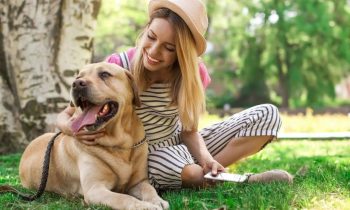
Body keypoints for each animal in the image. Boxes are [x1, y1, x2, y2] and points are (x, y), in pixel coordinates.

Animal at [19, 62, 170, 210]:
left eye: (104, 74)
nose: (77, 83)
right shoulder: (95, 190)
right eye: (78, 77)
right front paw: (144, 206)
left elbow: (149, 189)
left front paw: (157, 201)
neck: (118, 143)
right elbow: (123, 198)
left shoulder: (138, 182)